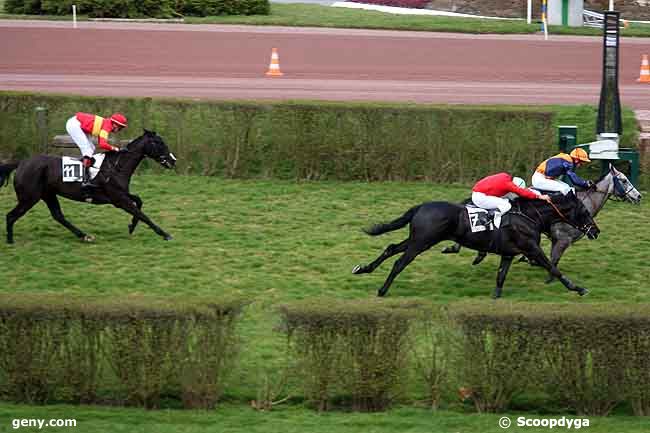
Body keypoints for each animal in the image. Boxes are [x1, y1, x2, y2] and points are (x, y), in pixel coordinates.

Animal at [0, 128, 176, 243]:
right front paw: (164, 234)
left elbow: (139, 201)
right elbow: (142, 214)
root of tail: (21, 163)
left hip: (48, 194)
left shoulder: (121, 195)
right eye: (159, 143)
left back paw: (84, 236)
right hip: (29, 197)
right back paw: (10, 241)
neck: (116, 166)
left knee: (58, 216)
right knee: (11, 216)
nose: (173, 160)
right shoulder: (119, 200)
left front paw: (131, 226)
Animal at [354, 192, 596, 296]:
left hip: (416, 239)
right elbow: (553, 268)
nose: (596, 230)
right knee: (399, 263)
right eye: (584, 211)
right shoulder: (532, 248)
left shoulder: (509, 253)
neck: (529, 216)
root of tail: (420, 207)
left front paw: (496, 296)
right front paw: (578, 288)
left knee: (391, 248)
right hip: (422, 242)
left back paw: (363, 268)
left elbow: (501, 276)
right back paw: (382, 290)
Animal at [440, 164, 636, 282]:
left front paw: (529, 261)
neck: (583, 202)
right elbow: (553, 260)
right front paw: (550, 279)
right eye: (624, 180)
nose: (638, 196)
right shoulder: (563, 239)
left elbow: (550, 259)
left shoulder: (556, 240)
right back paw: (464, 250)